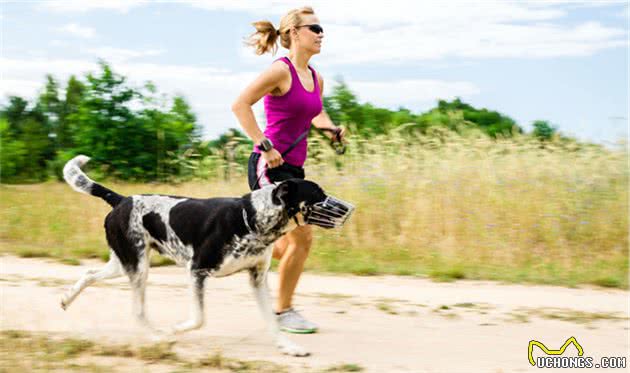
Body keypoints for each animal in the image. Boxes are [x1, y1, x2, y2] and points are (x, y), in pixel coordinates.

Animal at [59, 153, 344, 354]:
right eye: (318, 194)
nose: (345, 209)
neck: (252, 218)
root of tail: (121, 199)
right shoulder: (197, 270)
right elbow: (198, 318)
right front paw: (175, 329)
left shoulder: (257, 279)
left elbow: (272, 322)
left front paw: (289, 347)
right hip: (138, 268)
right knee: (138, 311)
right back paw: (157, 336)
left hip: (123, 263)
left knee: (89, 273)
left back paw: (66, 299)